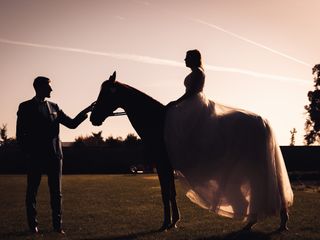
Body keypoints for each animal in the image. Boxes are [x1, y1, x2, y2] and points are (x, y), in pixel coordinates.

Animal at [90, 71, 180, 231]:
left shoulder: (162, 163)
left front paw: (166, 223)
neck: (157, 121)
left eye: (105, 94)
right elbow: (171, 192)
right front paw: (174, 220)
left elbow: (165, 192)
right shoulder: (167, 165)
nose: (93, 117)